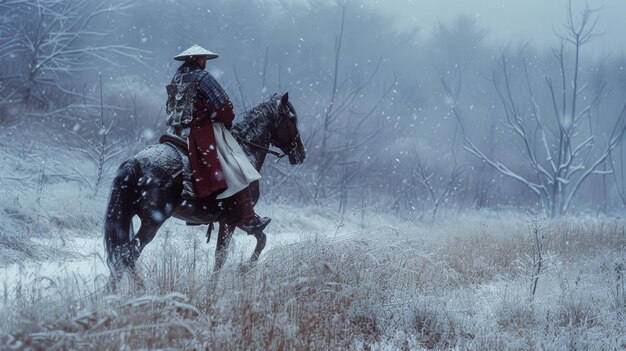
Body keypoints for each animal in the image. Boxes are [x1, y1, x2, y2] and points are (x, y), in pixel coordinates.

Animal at [103, 92, 306, 288]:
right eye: (291, 119)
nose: (302, 153)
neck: (245, 150)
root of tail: (134, 162)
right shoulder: (233, 220)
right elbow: (222, 256)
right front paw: (220, 284)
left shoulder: (235, 221)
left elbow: (261, 238)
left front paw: (243, 269)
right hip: (151, 222)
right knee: (127, 254)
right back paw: (139, 289)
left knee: (119, 258)